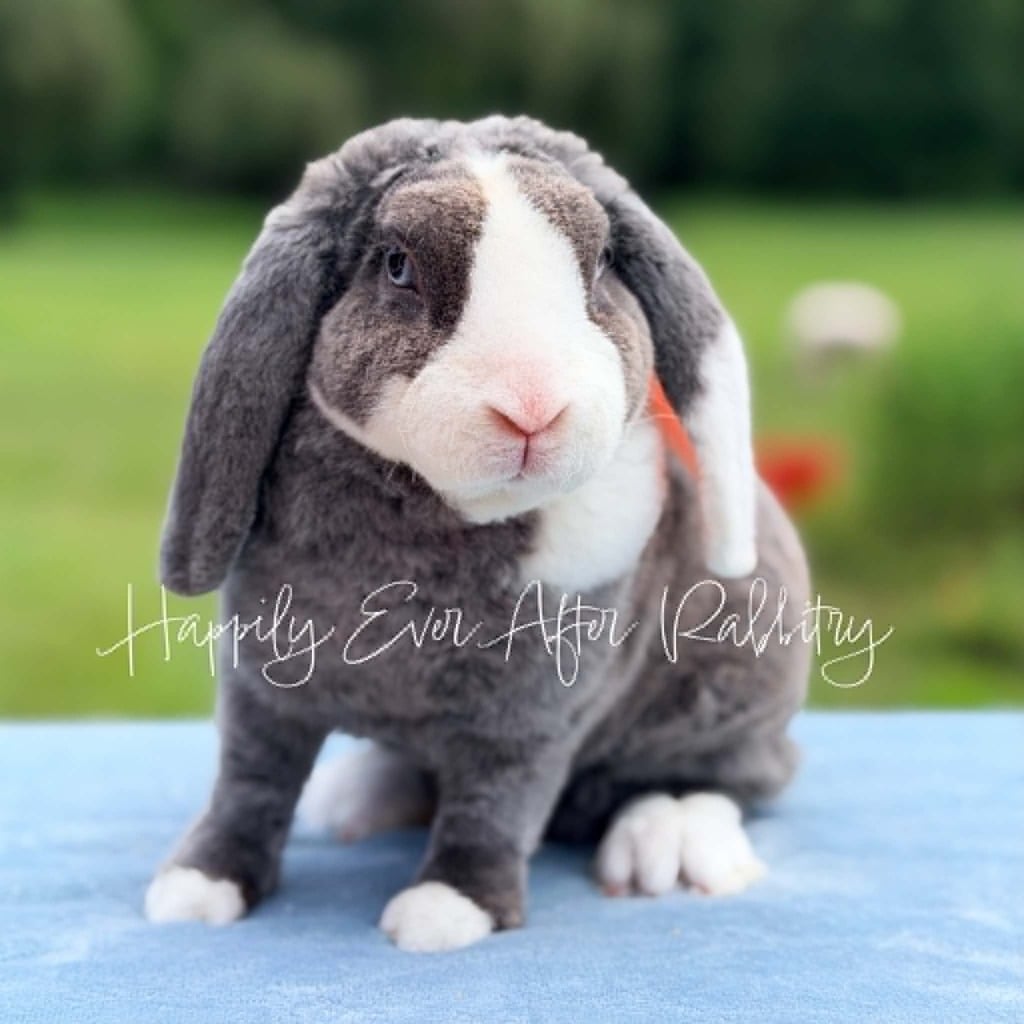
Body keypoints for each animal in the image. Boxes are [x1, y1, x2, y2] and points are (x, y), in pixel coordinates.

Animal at [144, 115, 811, 952]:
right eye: (397, 265)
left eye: (600, 265)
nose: (534, 408)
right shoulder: (264, 685)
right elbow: (249, 781)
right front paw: (196, 887)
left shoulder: (530, 714)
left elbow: (496, 806)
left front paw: (448, 909)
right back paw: (358, 798)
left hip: (734, 680)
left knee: (726, 778)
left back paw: (669, 838)